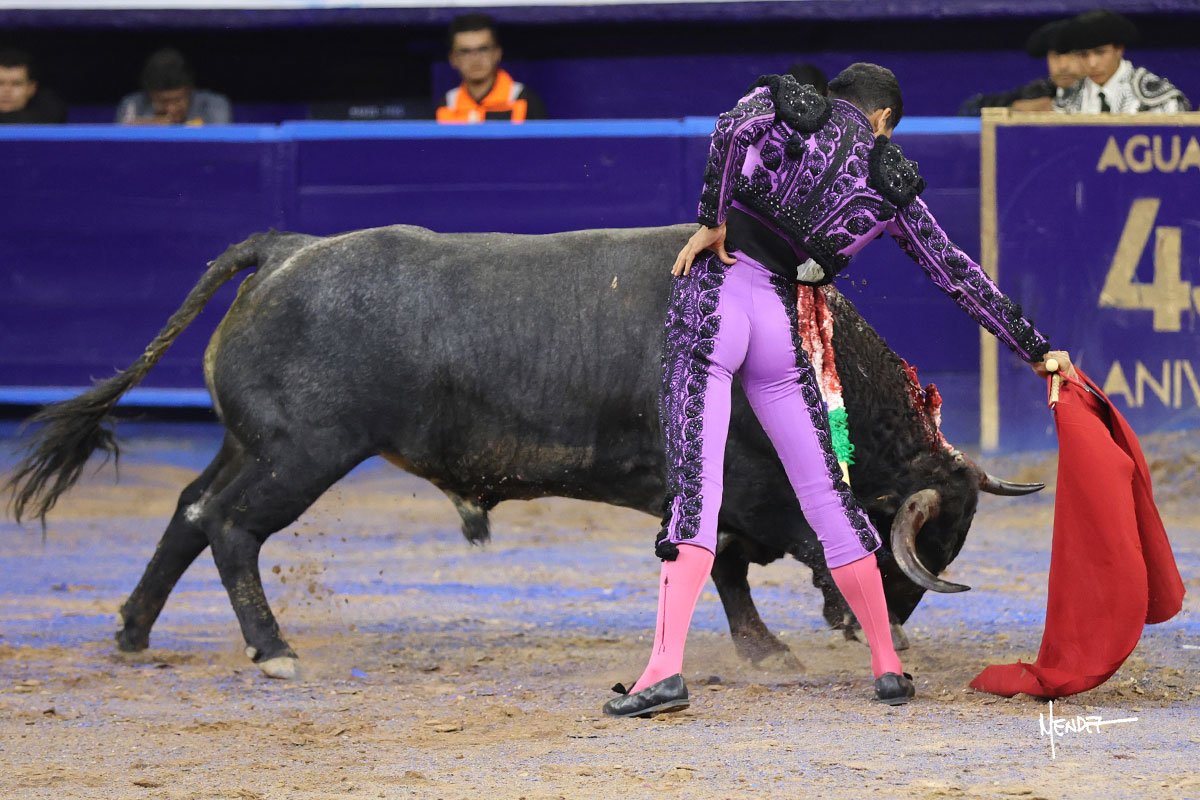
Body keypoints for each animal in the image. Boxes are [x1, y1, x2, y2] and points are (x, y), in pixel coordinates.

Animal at [5, 224, 1039, 680]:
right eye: (919, 545)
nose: (889, 621)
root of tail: (288, 247)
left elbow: (726, 568)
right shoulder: (727, 483)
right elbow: (726, 566)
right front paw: (763, 645)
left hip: (255, 444)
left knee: (187, 510)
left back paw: (133, 632)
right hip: (302, 453)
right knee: (228, 526)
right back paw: (272, 650)